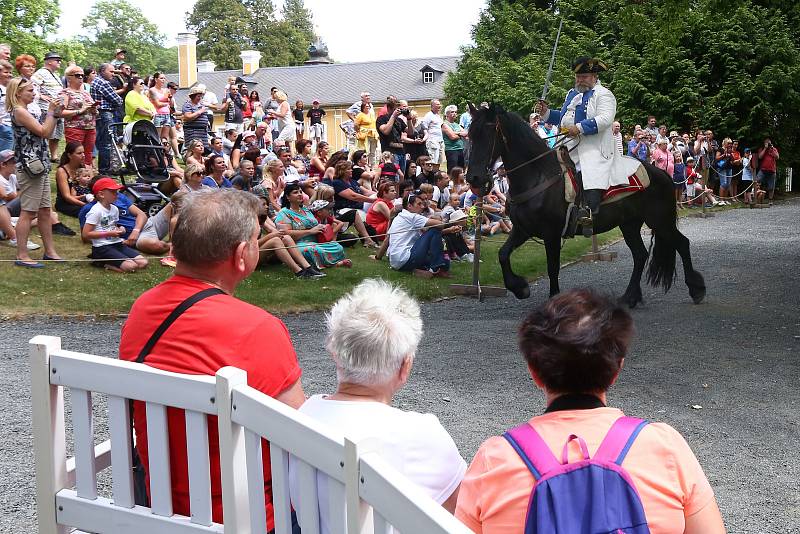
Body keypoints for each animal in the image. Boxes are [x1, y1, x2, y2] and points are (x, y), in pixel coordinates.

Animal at [466, 104, 704, 308]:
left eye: (489, 133)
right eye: (470, 134)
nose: (474, 178)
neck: (538, 175)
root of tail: (662, 173)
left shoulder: (551, 234)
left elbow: (552, 268)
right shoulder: (522, 230)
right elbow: (503, 254)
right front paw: (520, 287)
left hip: (660, 221)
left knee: (681, 244)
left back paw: (696, 289)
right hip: (630, 224)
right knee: (640, 255)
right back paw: (630, 297)